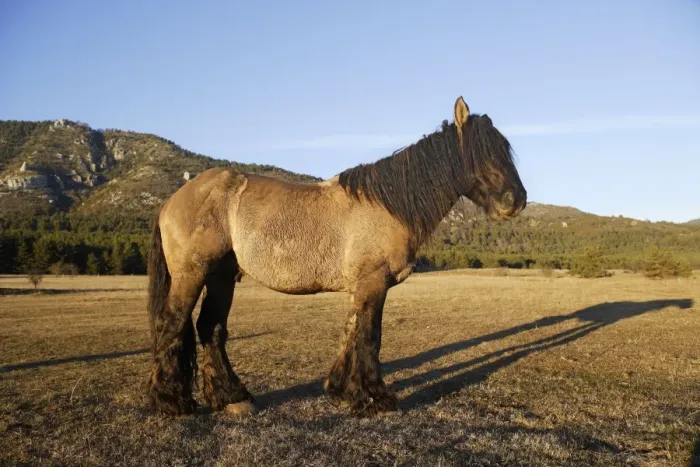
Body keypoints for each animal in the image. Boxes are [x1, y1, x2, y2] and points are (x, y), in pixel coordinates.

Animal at [146, 96, 527, 417]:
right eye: (480, 153)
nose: (516, 200)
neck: (388, 205)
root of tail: (172, 200)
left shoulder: (361, 286)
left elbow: (351, 331)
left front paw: (342, 391)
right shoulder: (374, 283)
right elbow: (370, 337)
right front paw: (375, 398)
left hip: (222, 276)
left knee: (210, 329)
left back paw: (232, 398)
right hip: (192, 274)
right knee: (172, 323)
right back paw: (173, 403)